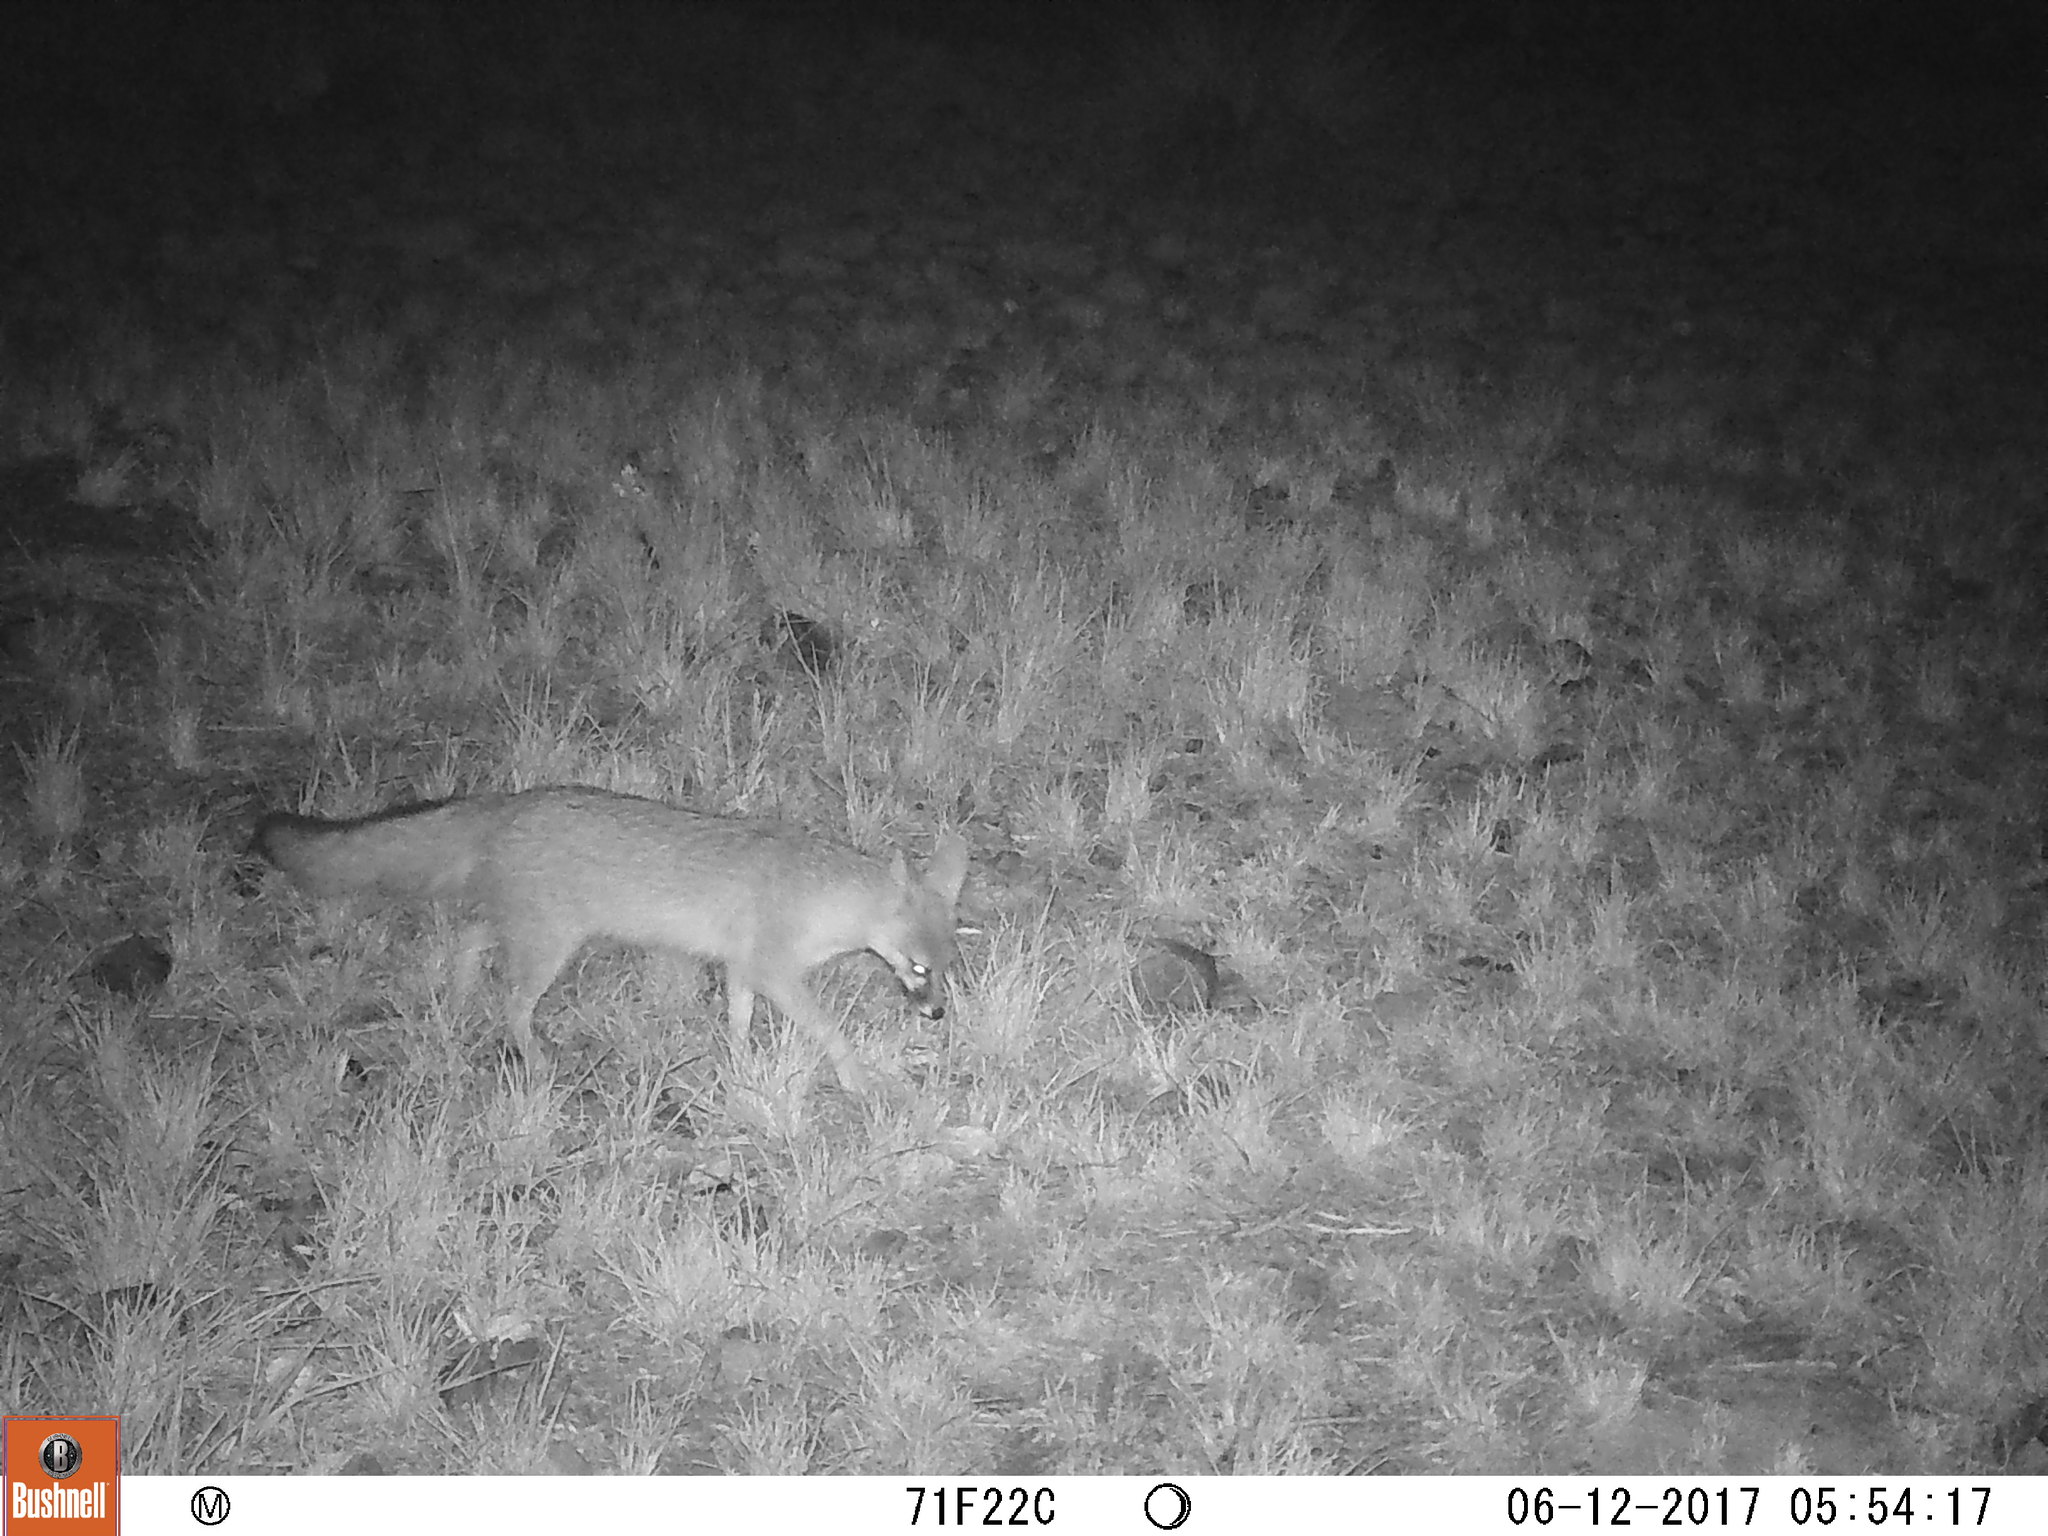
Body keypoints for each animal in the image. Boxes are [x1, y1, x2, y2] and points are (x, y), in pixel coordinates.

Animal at [252, 787, 970, 1095]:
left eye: (947, 965)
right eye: (917, 968)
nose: (937, 1015)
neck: (823, 892)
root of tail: (514, 799)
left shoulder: (742, 970)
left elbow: (738, 1024)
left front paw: (740, 1068)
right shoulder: (772, 971)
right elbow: (829, 1031)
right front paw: (855, 1079)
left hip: (524, 928)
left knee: (468, 939)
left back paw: (454, 998)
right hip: (547, 950)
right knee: (510, 1004)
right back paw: (535, 1062)